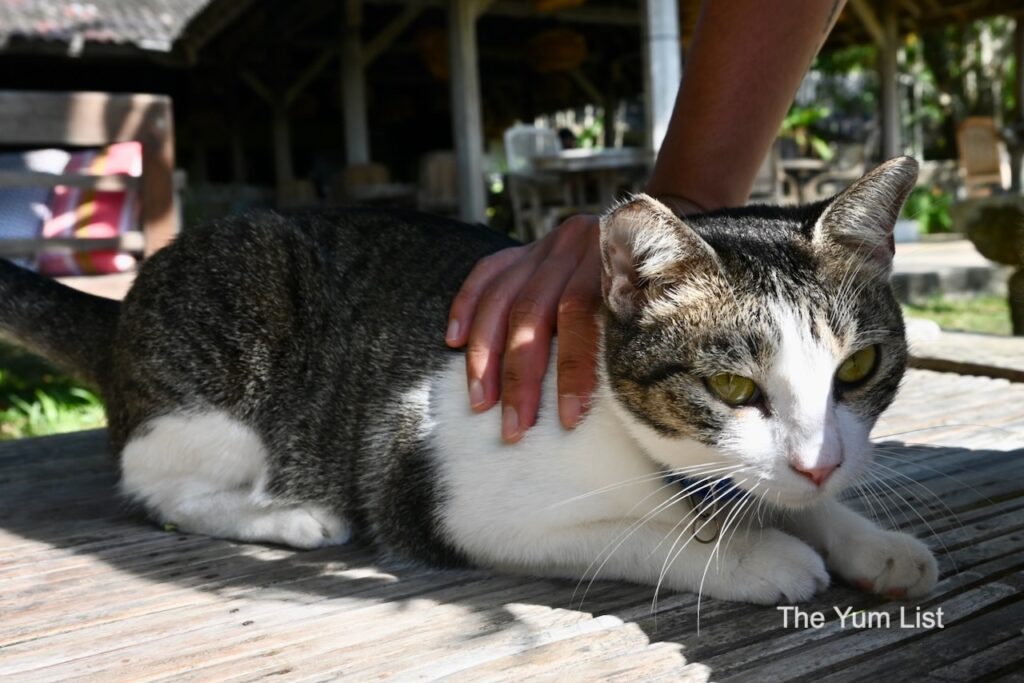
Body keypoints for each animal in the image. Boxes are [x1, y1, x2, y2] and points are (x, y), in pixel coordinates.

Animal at [0, 153, 937, 602]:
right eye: (736, 389)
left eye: (858, 368)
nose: (818, 461)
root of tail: (124, 314)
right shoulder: (452, 502)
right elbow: (638, 536)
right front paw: (756, 555)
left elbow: (801, 499)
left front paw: (864, 537)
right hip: (223, 378)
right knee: (153, 483)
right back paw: (292, 516)